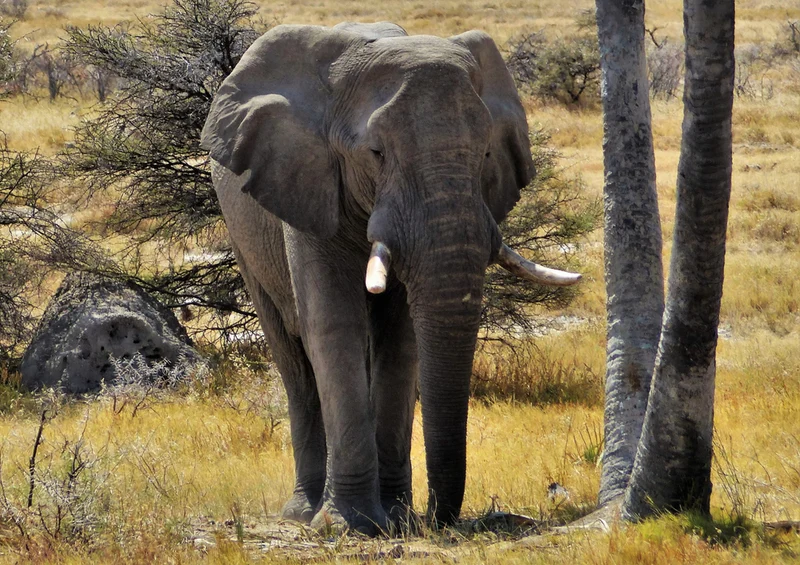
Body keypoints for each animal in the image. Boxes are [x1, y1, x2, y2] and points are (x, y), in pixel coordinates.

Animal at [201, 21, 580, 535]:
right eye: (376, 153)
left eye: (485, 153)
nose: (438, 520)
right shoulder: (309, 181)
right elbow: (332, 325)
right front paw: (346, 526)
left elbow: (400, 339)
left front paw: (396, 519)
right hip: (242, 234)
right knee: (293, 359)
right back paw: (302, 511)